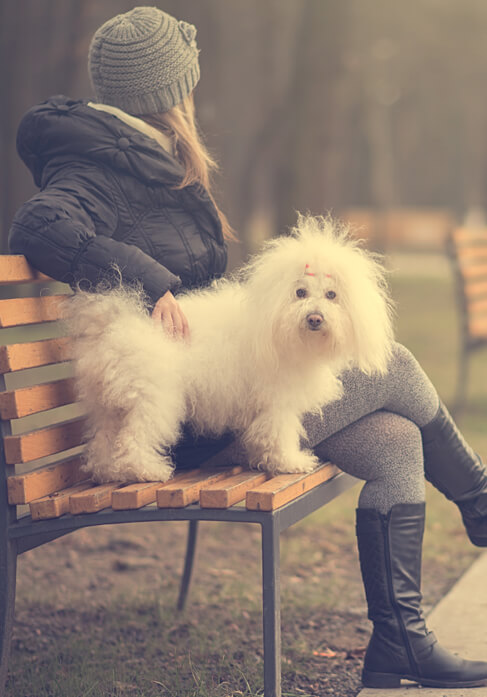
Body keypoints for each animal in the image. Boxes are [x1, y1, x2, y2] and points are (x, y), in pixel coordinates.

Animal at [66, 215, 392, 482]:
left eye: (331, 295)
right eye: (300, 293)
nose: (315, 318)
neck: (278, 329)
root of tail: (115, 322)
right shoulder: (278, 401)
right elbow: (279, 434)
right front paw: (289, 462)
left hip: (108, 405)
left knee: (102, 441)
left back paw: (107, 471)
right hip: (154, 398)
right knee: (134, 440)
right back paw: (147, 471)